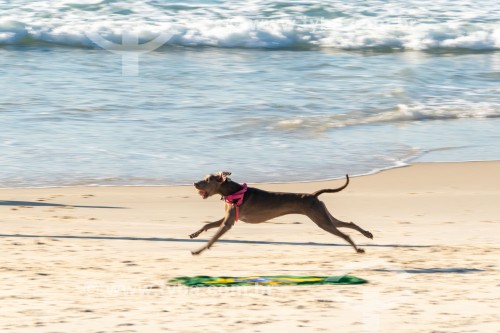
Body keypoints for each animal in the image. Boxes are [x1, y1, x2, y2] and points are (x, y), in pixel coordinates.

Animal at [189, 171, 374, 254]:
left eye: (207, 180)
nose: (194, 183)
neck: (234, 192)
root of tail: (313, 195)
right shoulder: (227, 219)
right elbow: (208, 225)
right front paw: (194, 234)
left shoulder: (228, 223)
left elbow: (212, 238)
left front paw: (198, 250)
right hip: (324, 216)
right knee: (349, 223)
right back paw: (367, 234)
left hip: (322, 221)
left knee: (345, 234)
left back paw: (358, 248)